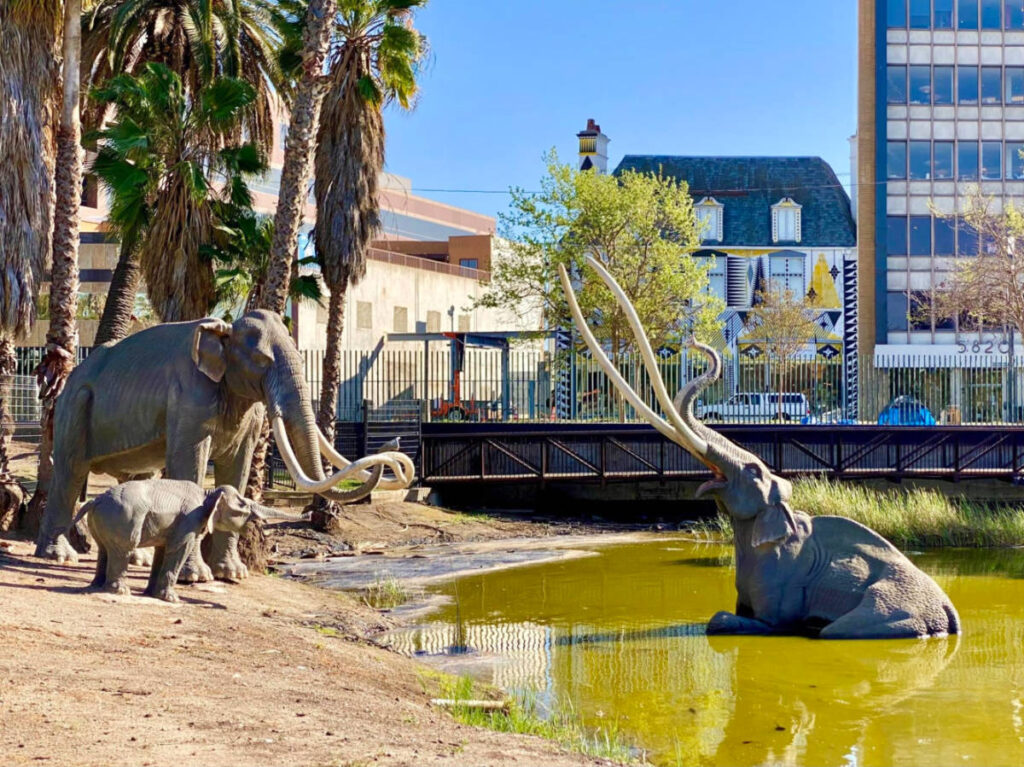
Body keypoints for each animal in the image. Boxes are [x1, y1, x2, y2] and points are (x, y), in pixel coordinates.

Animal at [35, 309, 415, 580]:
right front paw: (196, 578)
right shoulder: (189, 396)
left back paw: (139, 558)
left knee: (136, 475)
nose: (393, 448)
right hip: (75, 406)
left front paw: (232, 575)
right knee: (70, 471)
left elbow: (239, 467)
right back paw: (59, 556)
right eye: (262, 361)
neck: (225, 328)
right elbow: (190, 462)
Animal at [76, 480, 299, 602]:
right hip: (124, 520)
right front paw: (172, 600)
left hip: (102, 521)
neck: (207, 493)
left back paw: (98, 587)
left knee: (104, 549)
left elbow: (162, 551)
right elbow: (180, 548)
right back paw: (120, 591)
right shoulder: (190, 519)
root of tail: (96, 500)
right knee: (123, 550)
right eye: (243, 505)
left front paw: (151, 594)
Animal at [560, 256, 960, 639]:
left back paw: (819, 626)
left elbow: (741, 620)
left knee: (840, 630)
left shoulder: (782, 578)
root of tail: (949, 608)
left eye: (753, 470)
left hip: (891, 603)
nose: (694, 341)